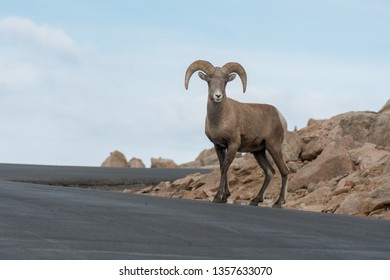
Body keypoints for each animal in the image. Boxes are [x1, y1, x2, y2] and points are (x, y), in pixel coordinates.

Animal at [184, 59, 288, 208]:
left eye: (225, 81)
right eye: (209, 80)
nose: (218, 96)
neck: (220, 119)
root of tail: (280, 116)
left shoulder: (233, 144)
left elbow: (225, 167)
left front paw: (218, 197)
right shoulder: (219, 146)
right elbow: (222, 166)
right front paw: (224, 197)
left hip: (273, 147)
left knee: (284, 171)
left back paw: (278, 203)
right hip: (259, 152)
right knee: (270, 172)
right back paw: (255, 200)